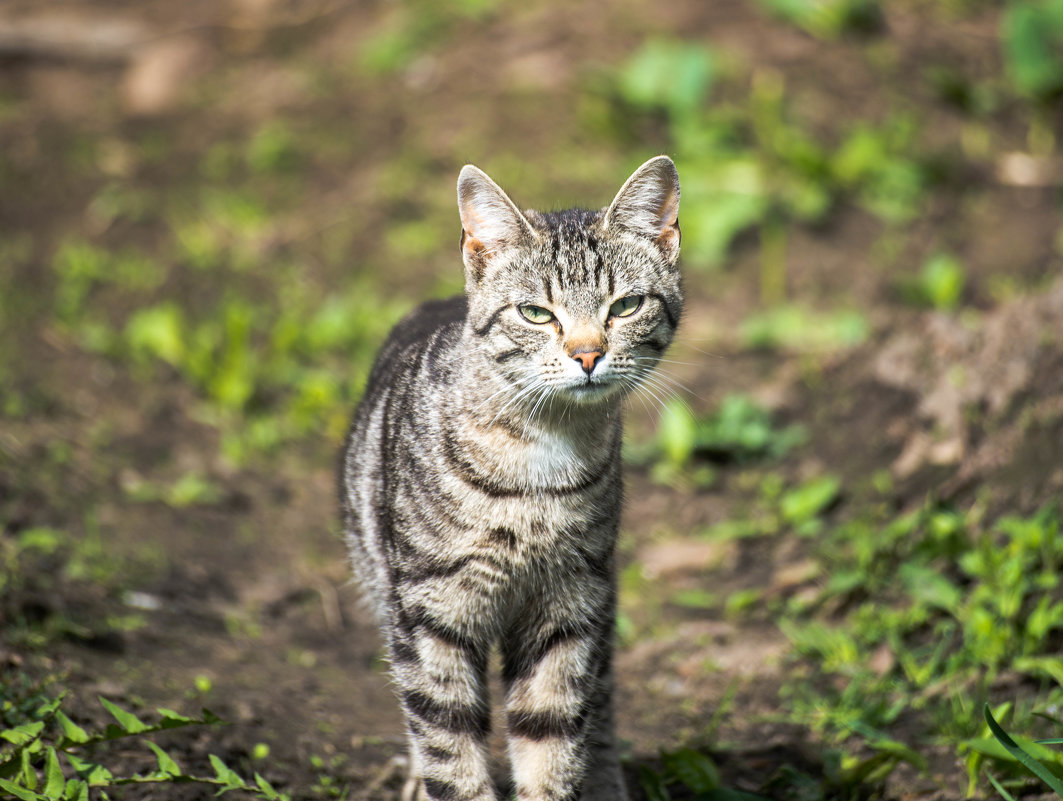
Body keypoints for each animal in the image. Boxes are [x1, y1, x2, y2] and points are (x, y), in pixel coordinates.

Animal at [340, 156, 680, 798]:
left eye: (624, 306)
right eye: (536, 313)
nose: (587, 355)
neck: (539, 463)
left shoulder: (568, 608)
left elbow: (552, 739)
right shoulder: (431, 613)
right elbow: (449, 748)